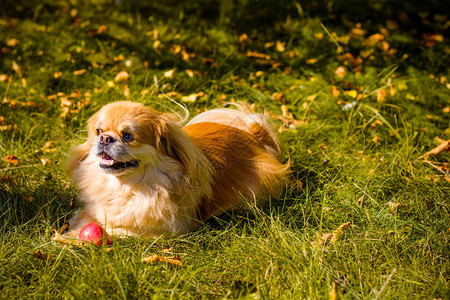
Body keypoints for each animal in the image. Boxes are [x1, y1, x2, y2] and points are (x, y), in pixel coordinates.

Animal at [64, 102, 288, 238]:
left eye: (128, 136)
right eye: (98, 131)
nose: (105, 138)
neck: (127, 186)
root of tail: (253, 136)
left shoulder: (164, 231)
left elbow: (115, 230)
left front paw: (71, 239)